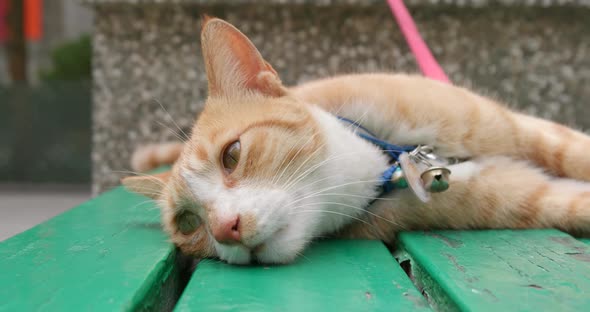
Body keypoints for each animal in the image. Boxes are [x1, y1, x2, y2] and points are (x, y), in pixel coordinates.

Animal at [123, 17, 590, 264]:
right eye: (187, 222)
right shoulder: (527, 196)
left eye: (232, 154)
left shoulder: (527, 130)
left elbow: (574, 153)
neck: (389, 160)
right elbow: (572, 203)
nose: (225, 229)